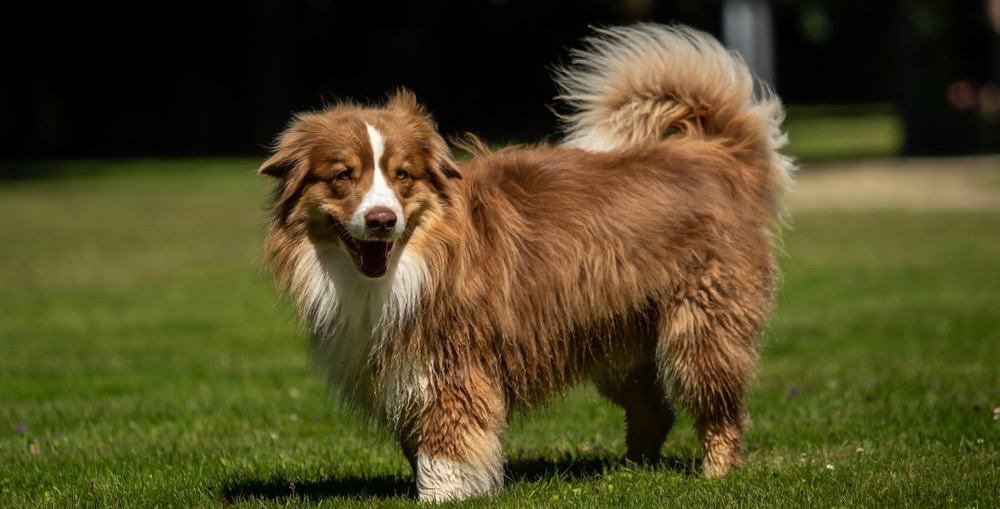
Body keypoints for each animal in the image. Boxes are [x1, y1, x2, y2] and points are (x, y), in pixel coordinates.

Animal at [262, 22, 792, 500]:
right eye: (342, 176)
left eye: (403, 175)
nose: (380, 220)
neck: (405, 263)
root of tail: (713, 153)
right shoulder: (399, 368)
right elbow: (417, 442)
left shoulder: (452, 363)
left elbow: (446, 447)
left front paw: (443, 495)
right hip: (620, 338)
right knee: (653, 411)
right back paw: (632, 471)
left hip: (700, 326)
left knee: (719, 405)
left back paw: (716, 473)